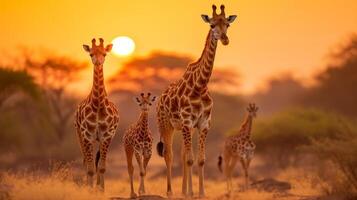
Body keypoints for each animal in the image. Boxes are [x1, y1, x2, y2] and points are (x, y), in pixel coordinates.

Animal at [74, 38, 119, 191]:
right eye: (91, 54)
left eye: (104, 54)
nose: (98, 62)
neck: (98, 105)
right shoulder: (87, 135)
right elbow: (90, 168)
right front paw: (89, 191)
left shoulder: (107, 135)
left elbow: (102, 167)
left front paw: (101, 190)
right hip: (80, 135)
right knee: (86, 162)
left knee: (97, 161)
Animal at [156, 4, 236, 197]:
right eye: (212, 25)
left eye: (227, 25)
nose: (225, 39)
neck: (200, 86)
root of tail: (160, 99)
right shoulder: (186, 121)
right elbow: (191, 159)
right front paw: (192, 193)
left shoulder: (203, 123)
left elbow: (199, 159)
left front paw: (200, 193)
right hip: (166, 125)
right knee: (169, 155)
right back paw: (170, 192)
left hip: (186, 128)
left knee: (182, 154)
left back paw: (183, 191)